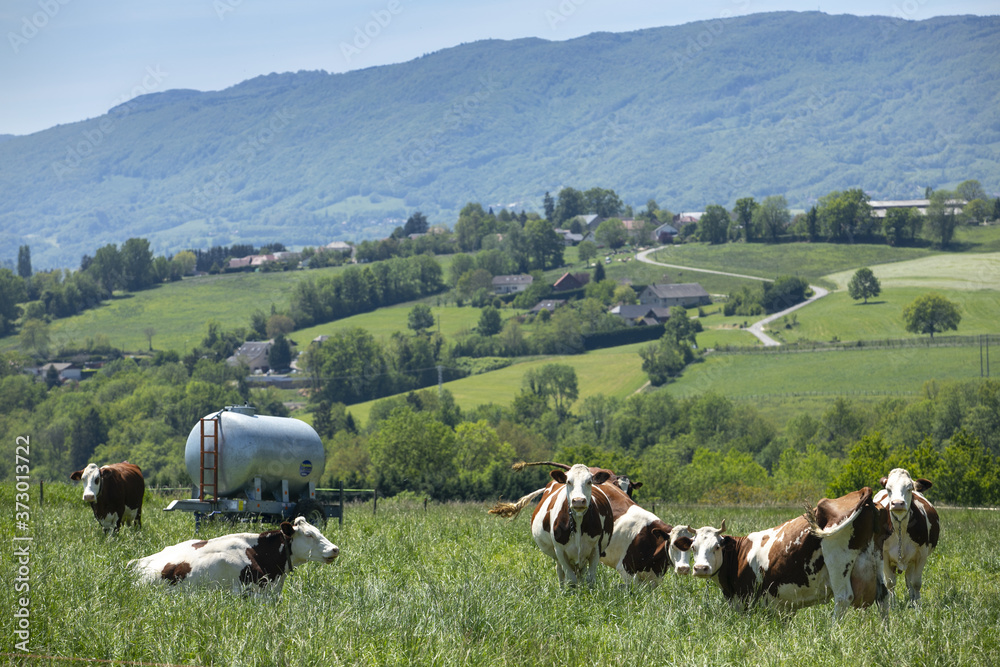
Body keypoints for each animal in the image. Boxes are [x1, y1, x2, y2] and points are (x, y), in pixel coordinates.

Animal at [688, 486, 892, 620]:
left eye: (717, 546)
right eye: (693, 547)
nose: (700, 568)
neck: (740, 554)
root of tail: (862, 492)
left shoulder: (748, 601)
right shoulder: (782, 607)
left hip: (838, 560)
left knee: (843, 598)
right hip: (877, 558)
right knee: (883, 596)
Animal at [872, 470, 940, 604]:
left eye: (909, 488)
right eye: (889, 489)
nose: (898, 503)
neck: (900, 529)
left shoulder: (921, 555)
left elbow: (916, 583)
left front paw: (917, 605)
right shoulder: (885, 555)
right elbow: (890, 583)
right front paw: (892, 604)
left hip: (910, 561)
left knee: (909, 580)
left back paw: (912, 601)